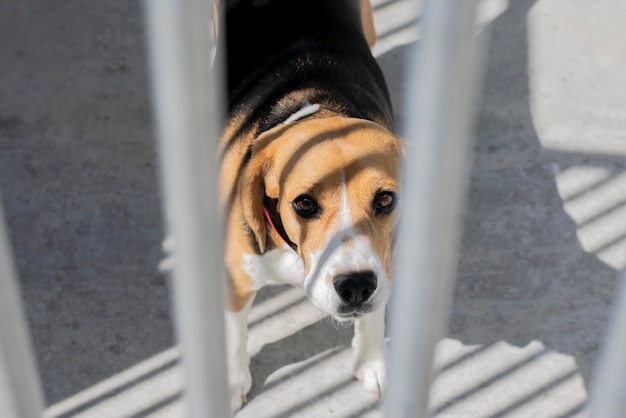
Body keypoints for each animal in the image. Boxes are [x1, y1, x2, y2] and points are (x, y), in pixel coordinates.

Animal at [218, 0, 404, 412]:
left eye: (385, 199)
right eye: (303, 204)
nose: (356, 286)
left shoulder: (384, 260)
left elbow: (375, 315)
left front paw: (373, 362)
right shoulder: (235, 279)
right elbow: (234, 333)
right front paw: (230, 383)